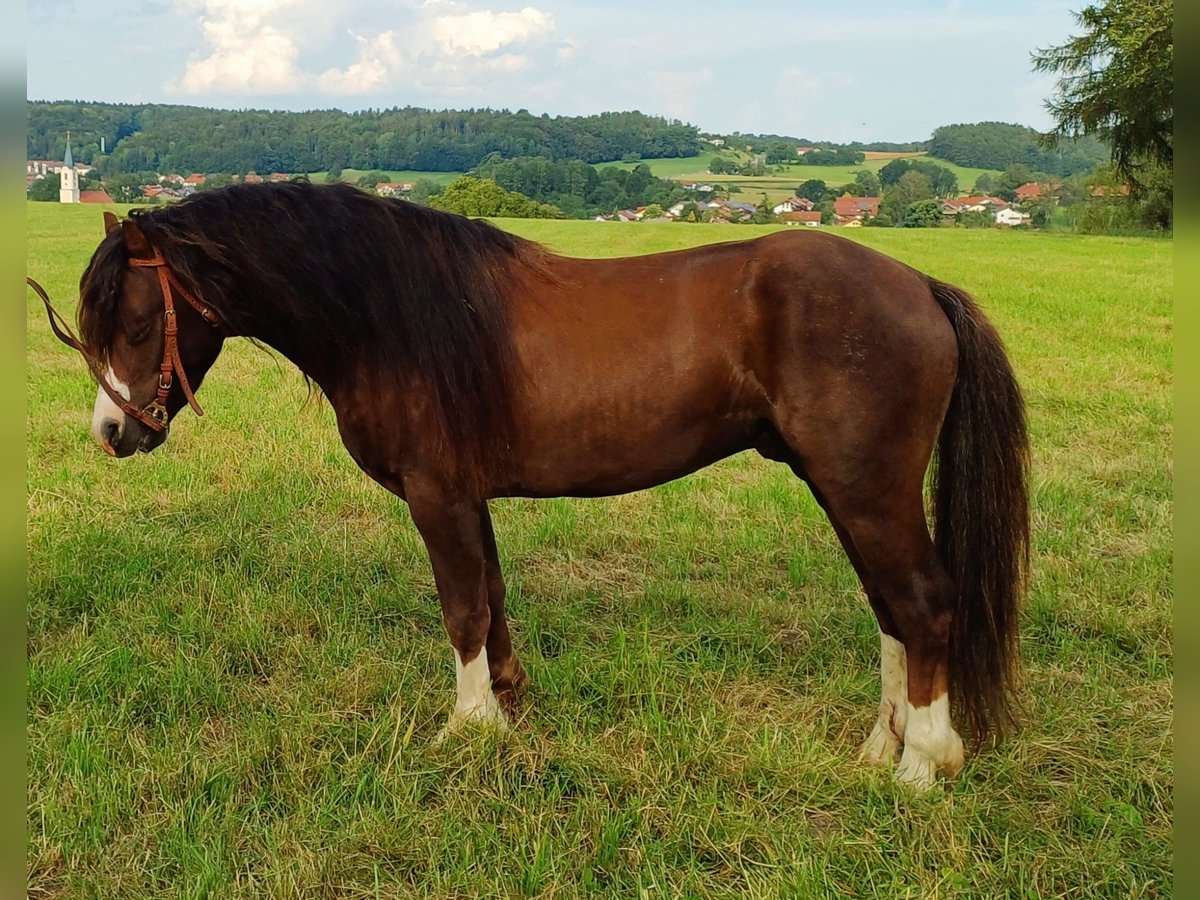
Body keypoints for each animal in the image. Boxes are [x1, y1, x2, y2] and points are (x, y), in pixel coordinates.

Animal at [39, 181, 1032, 787]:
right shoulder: (467, 496)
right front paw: (509, 708)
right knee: (891, 609)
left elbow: (462, 608)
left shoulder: (437, 495)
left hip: (866, 489)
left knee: (925, 604)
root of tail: (919, 284)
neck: (386, 316)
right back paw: (879, 747)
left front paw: (466, 727)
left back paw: (923, 765)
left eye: (136, 321)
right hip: (848, 490)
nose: (112, 433)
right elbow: (494, 599)